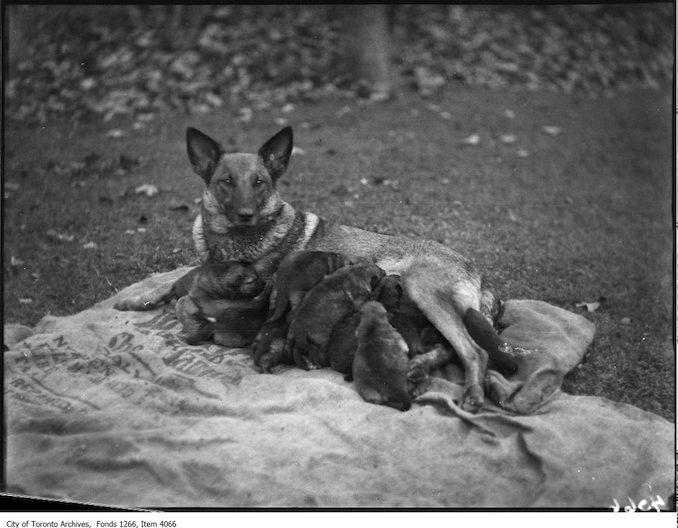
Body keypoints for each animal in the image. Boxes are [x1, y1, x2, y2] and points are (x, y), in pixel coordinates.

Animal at [118, 126, 520, 410]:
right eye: (226, 182)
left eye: (260, 183)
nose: (246, 214)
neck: (231, 240)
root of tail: (480, 276)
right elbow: (174, 281)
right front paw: (138, 299)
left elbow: (184, 296)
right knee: (450, 348)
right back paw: (420, 368)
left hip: (421, 288)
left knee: (474, 351)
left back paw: (471, 393)